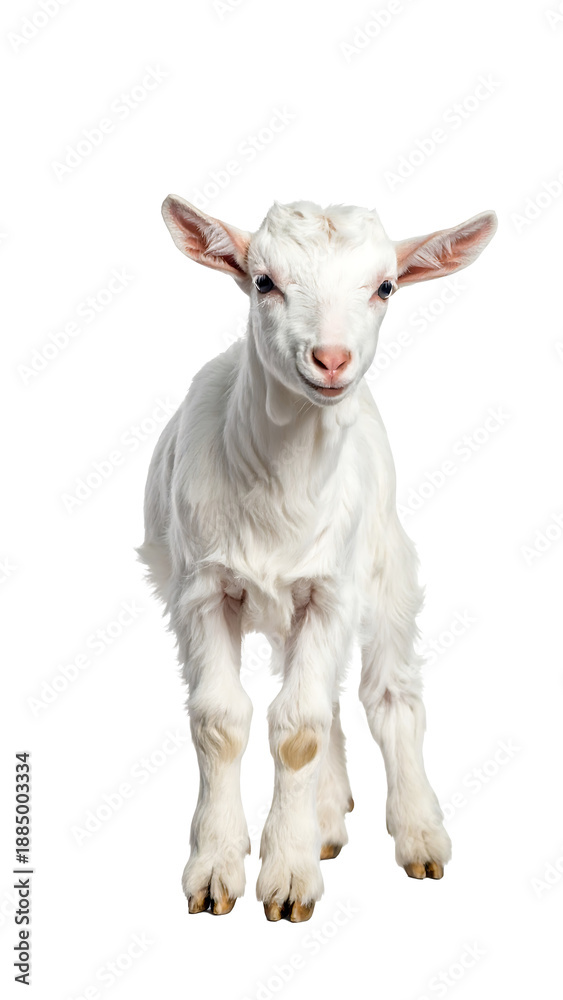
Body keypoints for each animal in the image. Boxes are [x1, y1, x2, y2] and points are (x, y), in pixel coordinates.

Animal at [138, 195, 497, 922]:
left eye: (385, 287)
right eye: (263, 281)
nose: (331, 359)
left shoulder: (332, 591)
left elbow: (297, 727)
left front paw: (288, 878)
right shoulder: (202, 589)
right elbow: (223, 720)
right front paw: (216, 866)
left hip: (385, 566)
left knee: (389, 695)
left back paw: (418, 834)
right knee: (324, 698)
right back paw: (326, 818)